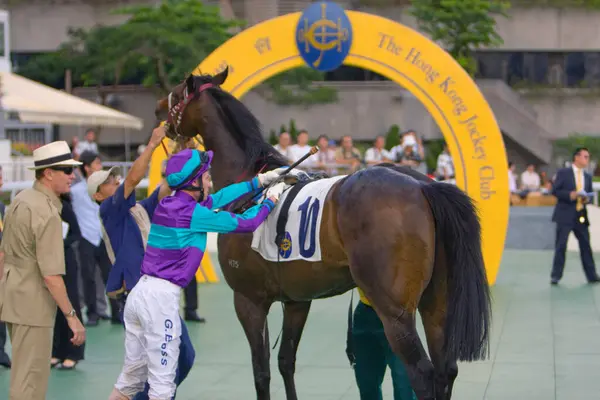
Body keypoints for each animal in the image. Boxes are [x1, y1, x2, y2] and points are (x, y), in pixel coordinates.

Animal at [155, 69, 492, 400]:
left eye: (178, 93)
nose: (158, 109)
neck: (248, 184)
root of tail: (424, 186)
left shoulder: (249, 300)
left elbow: (261, 373)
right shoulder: (297, 301)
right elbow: (286, 362)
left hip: (395, 312)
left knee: (422, 375)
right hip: (436, 303)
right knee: (446, 370)